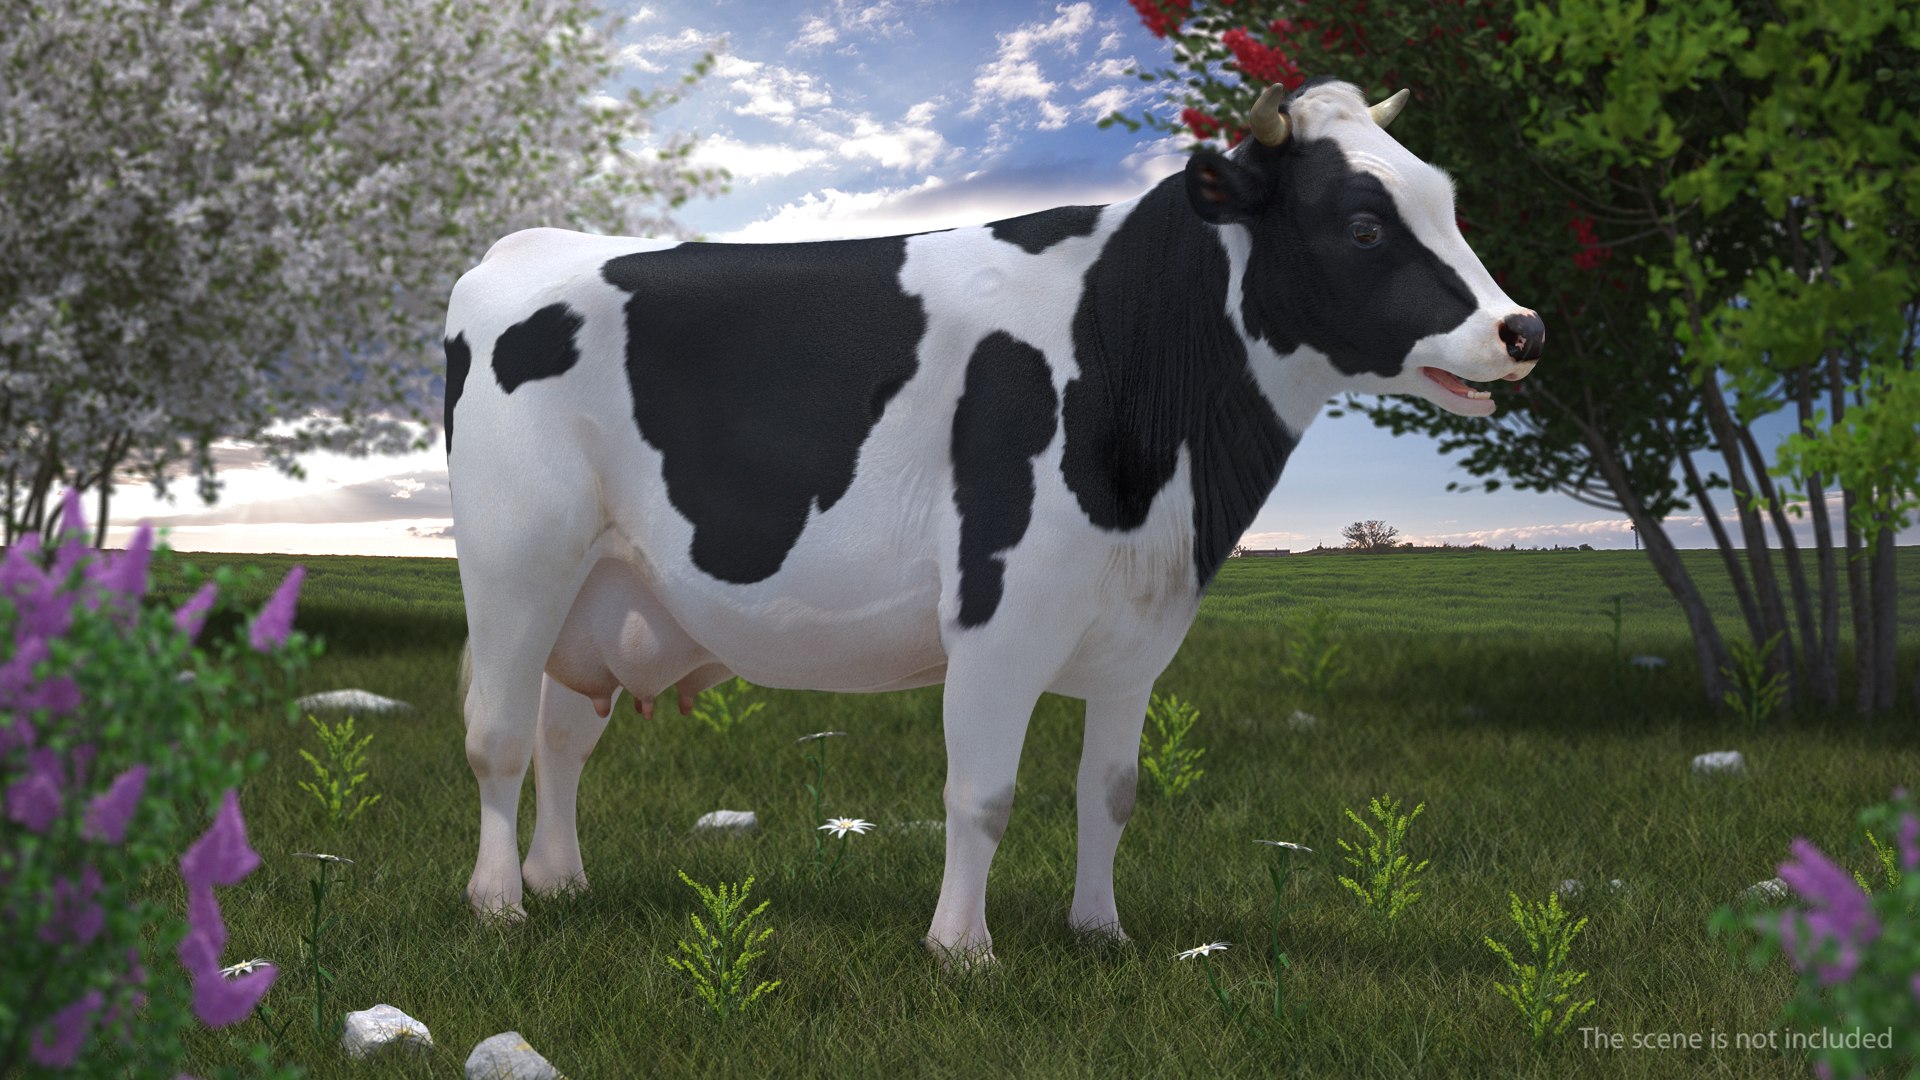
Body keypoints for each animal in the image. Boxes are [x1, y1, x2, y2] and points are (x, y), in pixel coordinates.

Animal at [444, 78, 1542, 963]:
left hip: (603, 585)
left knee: (562, 732)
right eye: (1363, 226)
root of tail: (526, 245)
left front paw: (1100, 931)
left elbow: (1111, 791)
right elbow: (982, 795)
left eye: (1446, 202)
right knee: (498, 735)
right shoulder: (1000, 614)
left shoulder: (1138, 634)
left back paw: (560, 879)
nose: (1522, 327)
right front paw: (962, 949)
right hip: (514, 560)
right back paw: (498, 902)